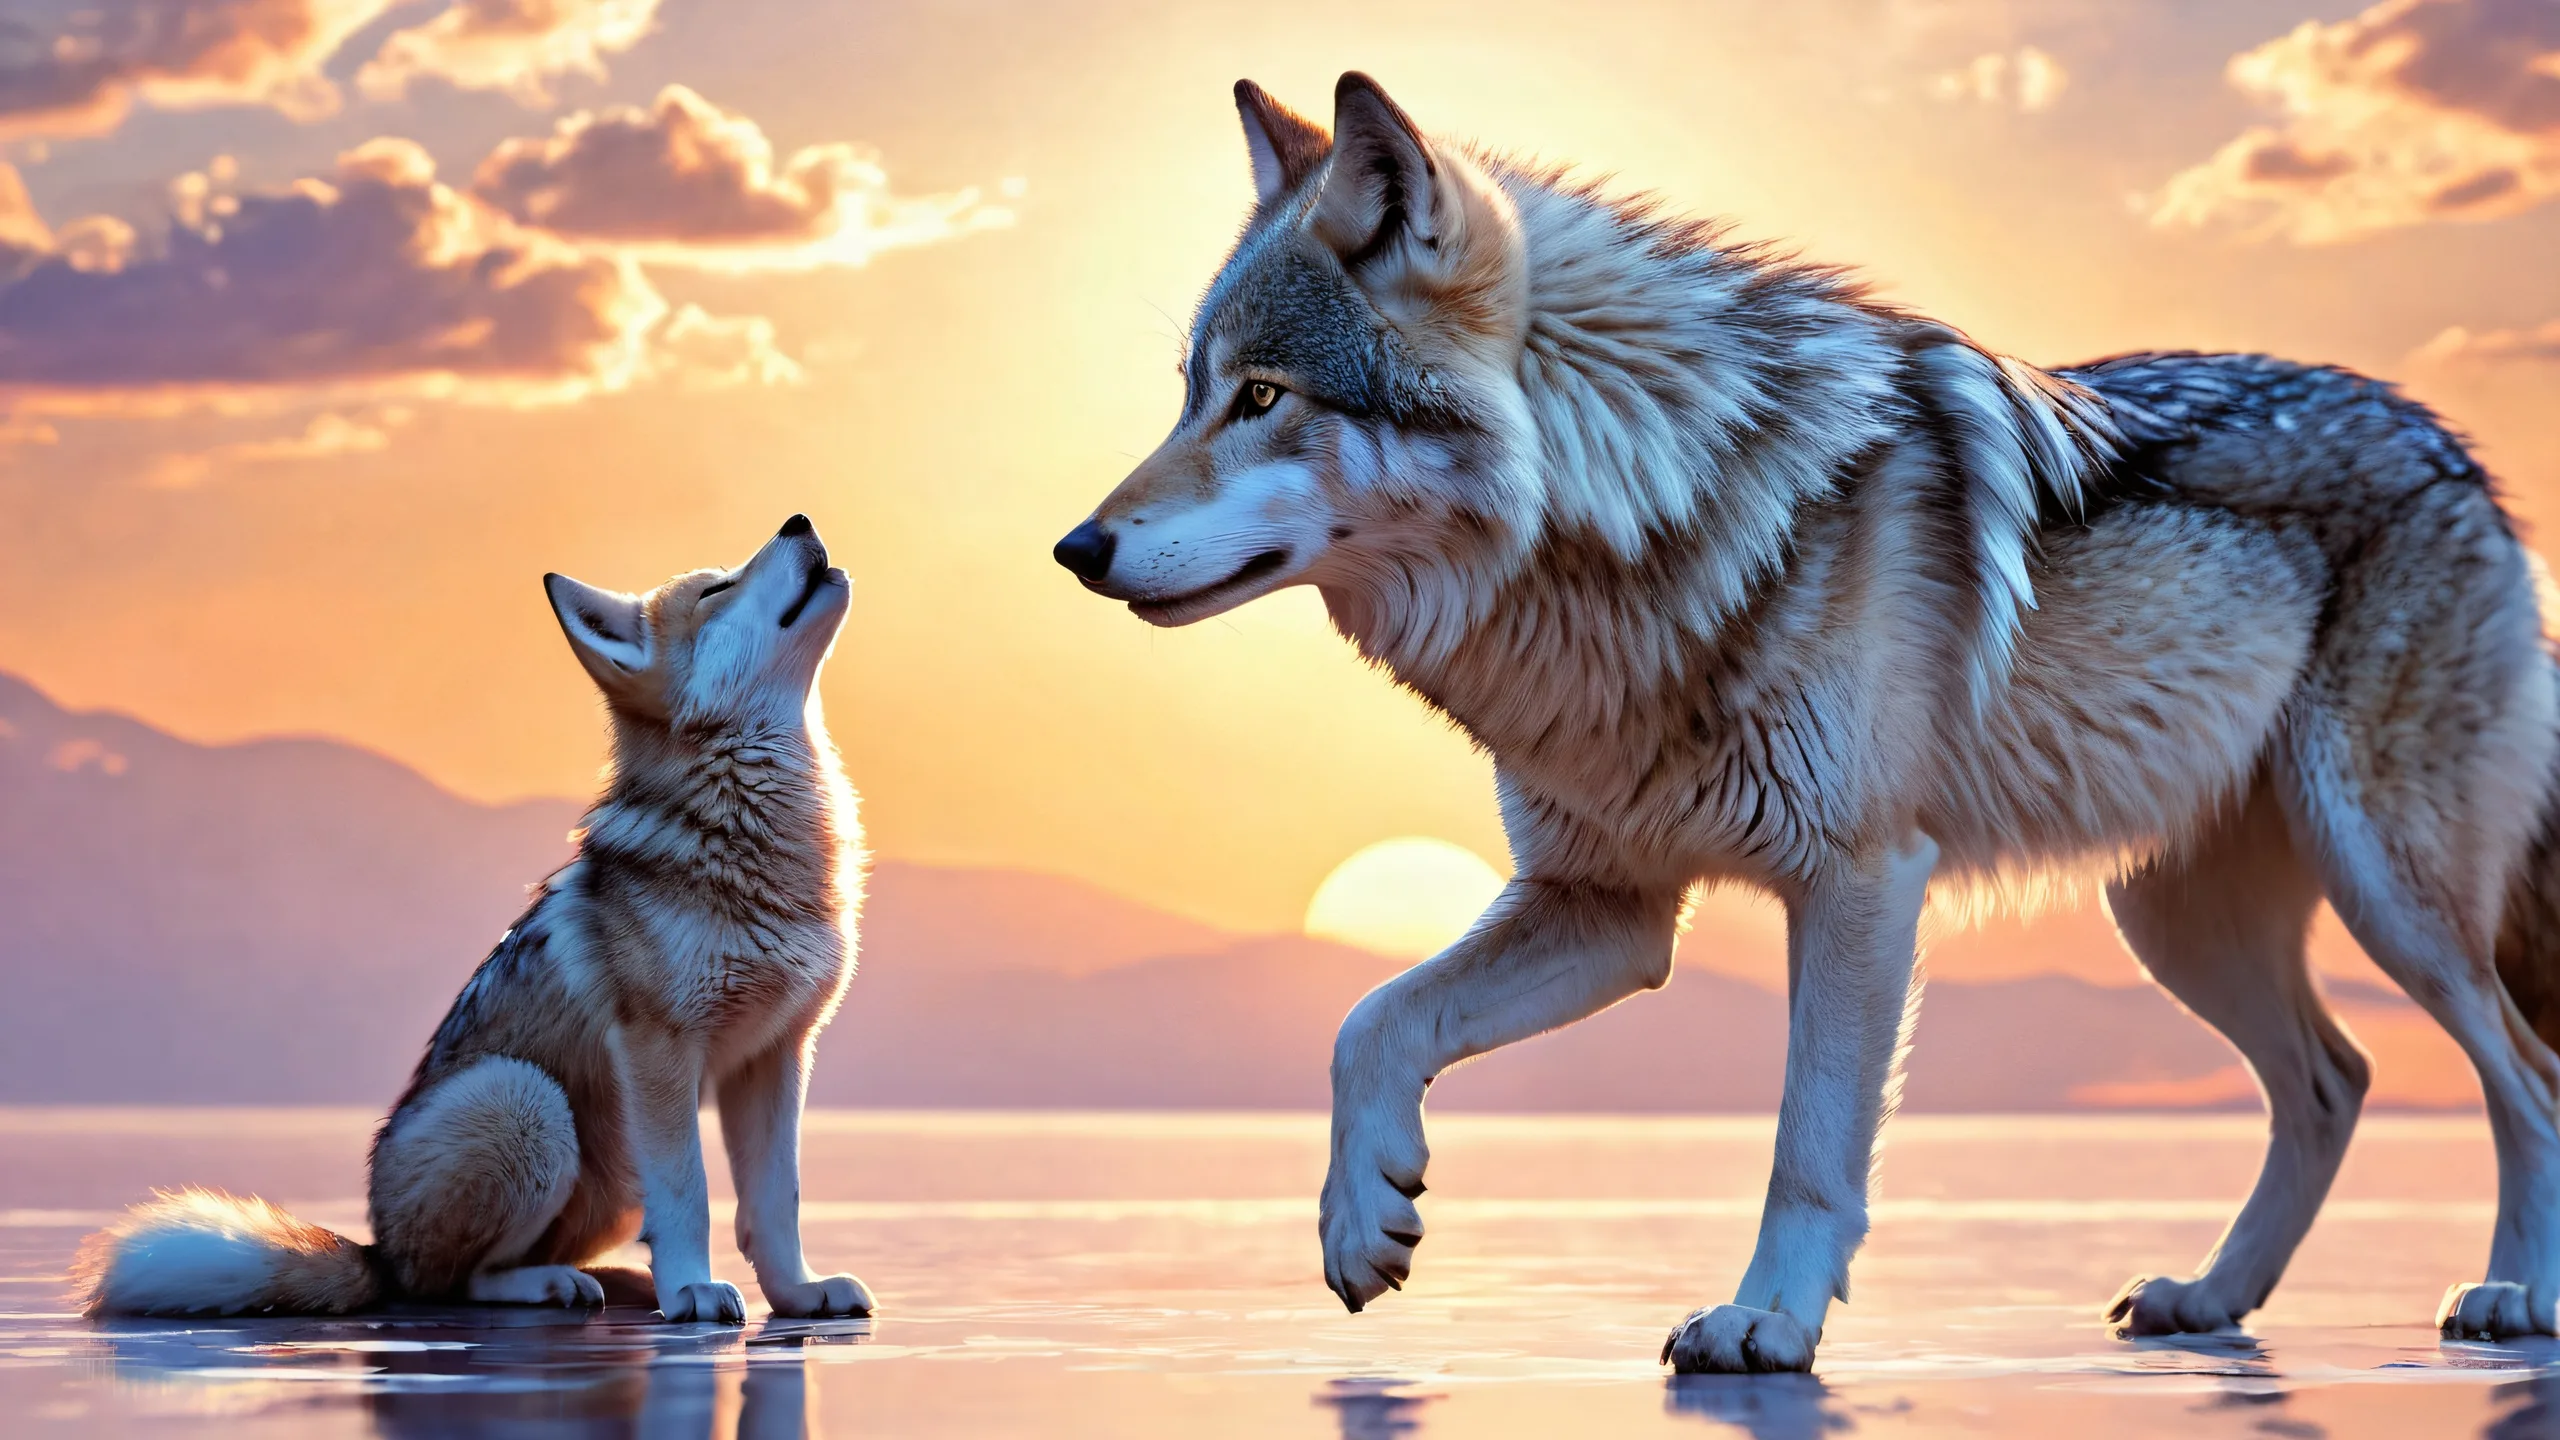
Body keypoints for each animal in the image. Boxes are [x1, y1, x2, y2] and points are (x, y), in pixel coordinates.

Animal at [75, 515, 873, 1325]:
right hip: (529, 1104)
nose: (800, 520)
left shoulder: (773, 1056)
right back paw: (559, 1286)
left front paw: (798, 1294)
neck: (751, 833)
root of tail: (380, 1252)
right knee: (460, 1282)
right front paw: (691, 1293)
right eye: (717, 589)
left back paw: (609, 1279)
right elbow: (690, 1198)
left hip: (609, 1166)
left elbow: (775, 1202)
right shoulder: (660, 1050)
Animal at [1055, 72, 2560, 1371]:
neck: (1642, 532)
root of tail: (2451, 447)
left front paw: (1766, 1325)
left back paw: (2511, 1297)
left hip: (2392, 903)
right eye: (1190, 394)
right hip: (2173, 922)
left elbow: (1808, 1141)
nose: (1075, 548)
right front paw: (1363, 1215)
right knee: (2338, 1078)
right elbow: (1369, 1017)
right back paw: (2212, 1295)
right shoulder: (1608, 907)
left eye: (1263, 397)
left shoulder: (1857, 881)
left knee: (2523, 1075)